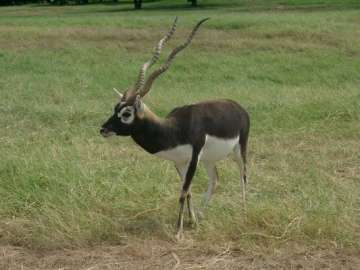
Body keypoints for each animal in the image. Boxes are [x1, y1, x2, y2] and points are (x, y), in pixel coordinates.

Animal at [100, 17, 249, 239]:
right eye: (115, 108)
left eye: (126, 113)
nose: (103, 129)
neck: (173, 130)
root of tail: (237, 106)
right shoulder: (179, 162)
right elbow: (187, 192)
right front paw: (191, 221)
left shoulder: (194, 157)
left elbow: (183, 192)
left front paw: (178, 233)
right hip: (209, 159)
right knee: (215, 180)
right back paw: (201, 216)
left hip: (239, 149)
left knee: (243, 175)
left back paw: (244, 209)